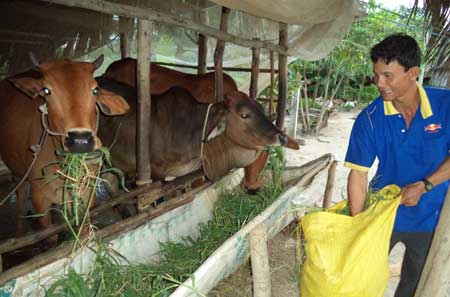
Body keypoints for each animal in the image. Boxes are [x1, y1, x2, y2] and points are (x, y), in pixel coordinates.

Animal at [0, 55, 130, 231]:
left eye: (95, 90)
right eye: (46, 91)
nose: (81, 141)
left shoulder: (86, 197)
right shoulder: (40, 201)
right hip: (17, 172)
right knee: (20, 195)